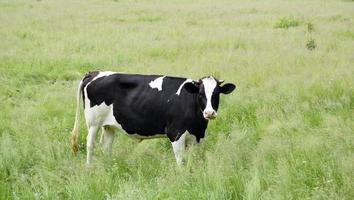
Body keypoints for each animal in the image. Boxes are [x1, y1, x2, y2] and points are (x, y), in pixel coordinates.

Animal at [70, 71, 235, 165]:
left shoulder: (196, 138)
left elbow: (191, 160)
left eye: (216, 94)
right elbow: (180, 161)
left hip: (108, 125)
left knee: (106, 146)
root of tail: (94, 72)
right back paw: (89, 168)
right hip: (93, 123)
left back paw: (109, 166)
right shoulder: (175, 134)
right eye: (200, 94)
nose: (209, 113)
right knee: (90, 145)